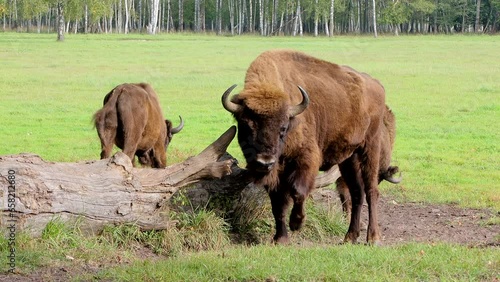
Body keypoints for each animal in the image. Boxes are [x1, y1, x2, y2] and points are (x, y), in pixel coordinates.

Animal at [223, 49, 390, 243]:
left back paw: (373, 238)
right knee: (357, 192)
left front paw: (297, 223)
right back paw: (350, 237)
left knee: (371, 190)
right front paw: (280, 239)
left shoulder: (305, 159)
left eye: (283, 128)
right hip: (349, 158)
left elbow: (298, 191)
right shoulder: (276, 172)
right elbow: (277, 203)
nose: (265, 162)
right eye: (246, 126)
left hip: (370, 147)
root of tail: (376, 85)